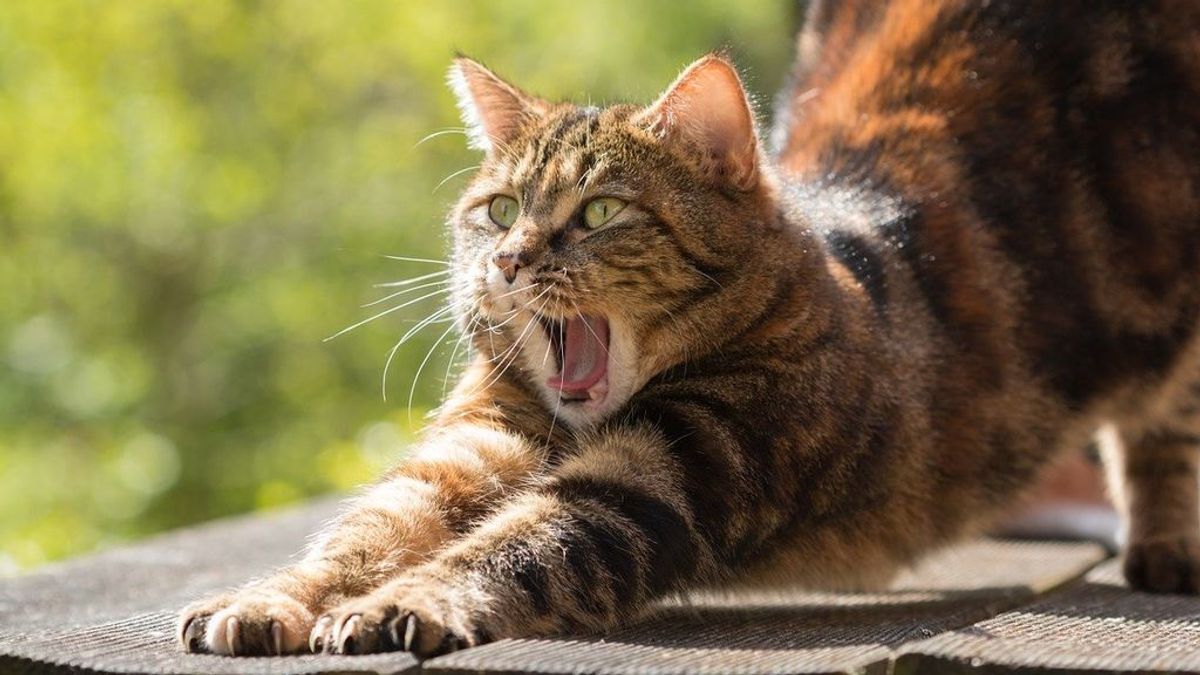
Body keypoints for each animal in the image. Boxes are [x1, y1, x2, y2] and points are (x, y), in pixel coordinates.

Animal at [175, 0, 1200, 653]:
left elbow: (518, 539)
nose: (508, 264)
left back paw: (1165, 545)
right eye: (500, 212)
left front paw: (407, 598)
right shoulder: (474, 443)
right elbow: (367, 530)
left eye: (598, 212)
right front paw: (268, 598)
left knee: (1164, 429)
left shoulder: (675, 470)